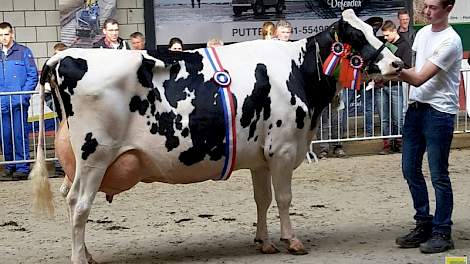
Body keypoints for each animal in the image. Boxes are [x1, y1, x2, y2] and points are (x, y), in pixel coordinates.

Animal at [32, 9, 400, 262]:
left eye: (375, 32)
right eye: (355, 38)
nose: (397, 63)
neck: (297, 71)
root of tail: (61, 56)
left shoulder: (261, 158)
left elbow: (262, 199)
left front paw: (264, 241)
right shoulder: (282, 150)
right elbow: (284, 199)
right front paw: (291, 241)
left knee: (71, 202)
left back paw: (88, 254)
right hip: (94, 156)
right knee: (78, 204)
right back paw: (80, 258)